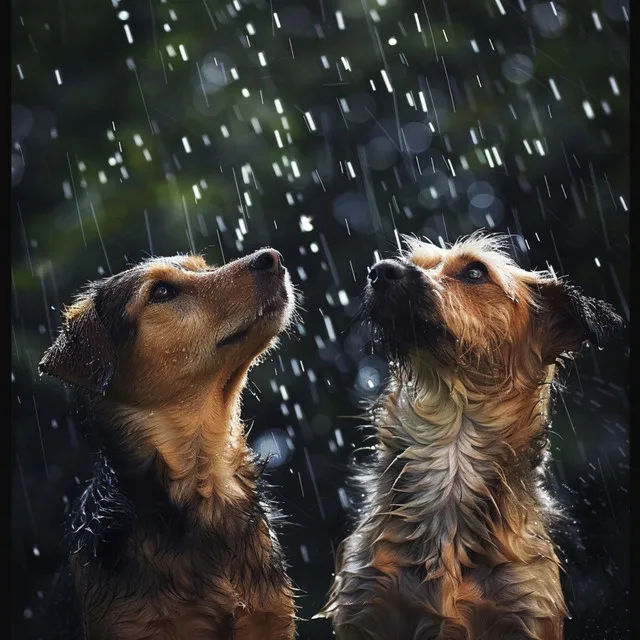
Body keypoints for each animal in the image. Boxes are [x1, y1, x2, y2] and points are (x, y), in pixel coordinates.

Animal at [322, 235, 624, 640]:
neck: (452, 446)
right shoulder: (365, 604)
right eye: (416, 262)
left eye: (475, 272)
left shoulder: (526, 611)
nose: (381, 271)